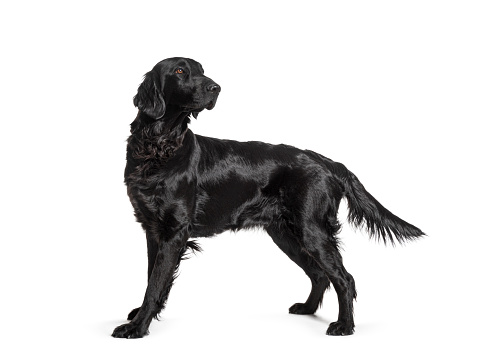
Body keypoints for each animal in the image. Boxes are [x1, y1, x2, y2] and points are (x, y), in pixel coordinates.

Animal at [112, 57, 424, 338]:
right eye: (180, 71)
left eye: (202, 70)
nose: (216, 87)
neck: (159, 146)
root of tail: (326, 161)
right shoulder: (153, 229)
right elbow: (153, 277)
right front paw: (142, 316)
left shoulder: (174, 231)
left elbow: (155, 284)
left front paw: (137, 327)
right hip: (285, 234)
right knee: (319, 274)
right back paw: (308, 309)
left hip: (311, 230)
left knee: (344, 278)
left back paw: (344, 326)